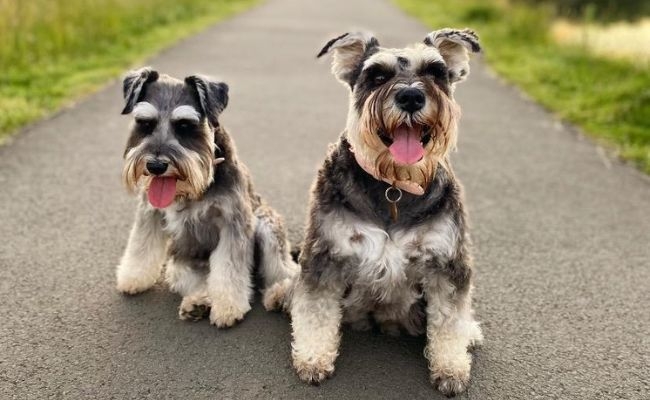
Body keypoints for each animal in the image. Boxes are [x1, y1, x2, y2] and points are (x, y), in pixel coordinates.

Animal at [115, 68, 298, 328]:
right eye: (145, 123)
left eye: (185, 126)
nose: (156, 165)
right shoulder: (150, 213)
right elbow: (141, 245)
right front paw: (133, 277)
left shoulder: (233, 222)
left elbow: (228, 269)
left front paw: (228, 307)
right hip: (179, 263)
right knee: (198, 280)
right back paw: (197, 302)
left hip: (266, 224)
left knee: (283, 269)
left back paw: (278, 293)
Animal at [292, 29, 484, 396]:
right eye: (377, 76)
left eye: (435, 72)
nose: (410, 97)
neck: (394, 184)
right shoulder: (325, 257)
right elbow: (316, 312)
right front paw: (312, 359)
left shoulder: (447, 264)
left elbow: (450, 319)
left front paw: (451, 368)